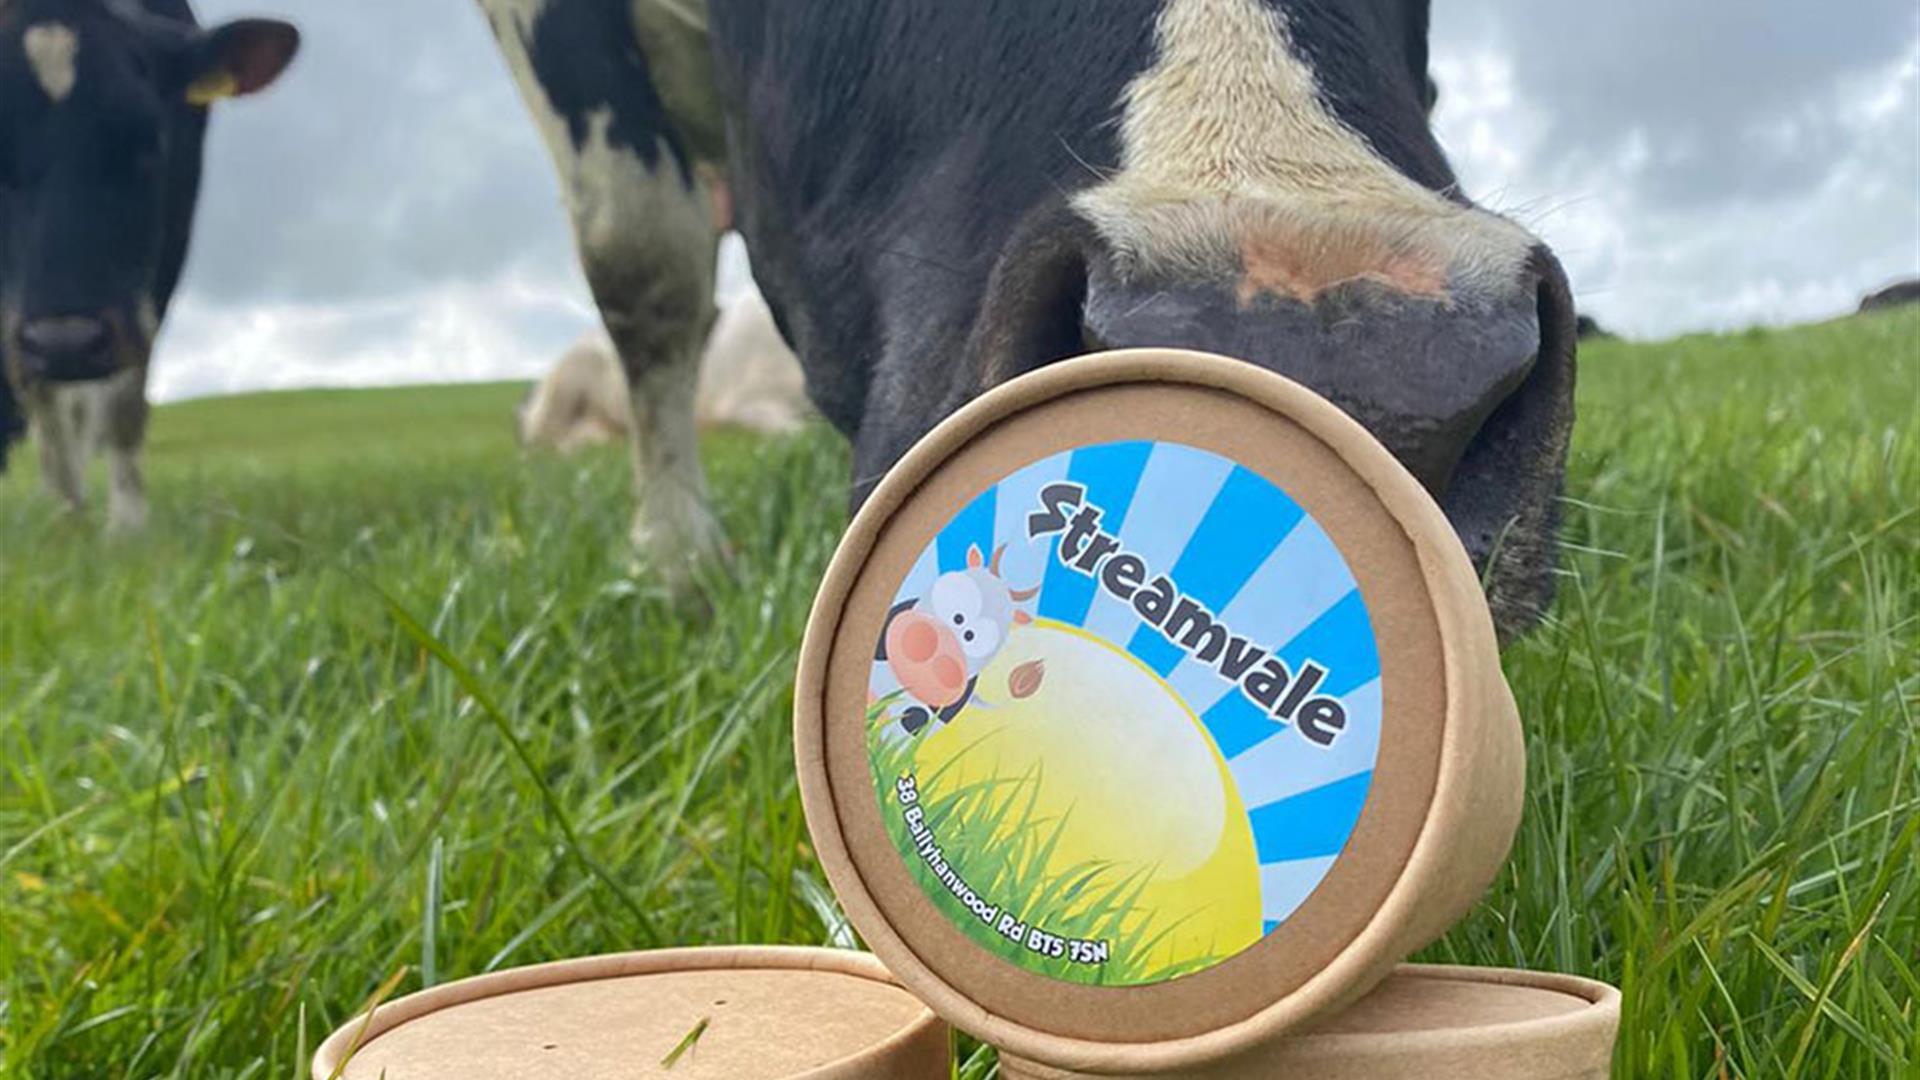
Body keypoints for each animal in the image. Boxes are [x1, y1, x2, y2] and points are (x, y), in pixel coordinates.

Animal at [0, 0, 297, 526]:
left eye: (148, 139)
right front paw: (65, 515)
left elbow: (125, 396)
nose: (65, 343)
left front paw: (128, 525)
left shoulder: (155, 270)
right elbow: (38, 394)